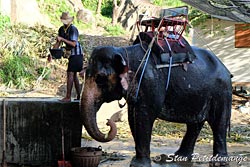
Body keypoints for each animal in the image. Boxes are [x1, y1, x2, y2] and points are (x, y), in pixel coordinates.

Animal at [80, 42, 232, 166]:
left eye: (100, 78)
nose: (108, 122)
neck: (124, 52)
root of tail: (226, 69)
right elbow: (133, 119)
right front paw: (137, 161)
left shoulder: (150, 83)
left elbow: (144, 117)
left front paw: (138, 165)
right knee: (195, 124)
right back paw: (179, 157)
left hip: (221, 92)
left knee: (218, 122)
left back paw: (218, 163)